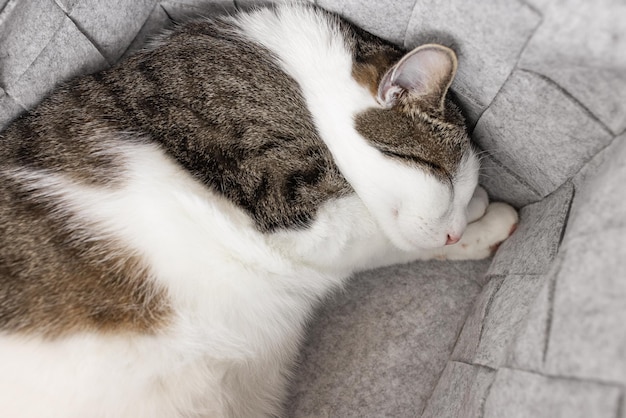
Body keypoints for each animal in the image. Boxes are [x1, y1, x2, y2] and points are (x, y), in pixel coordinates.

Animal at [0, 4, 516, 418]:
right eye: (443, 177)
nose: (454, 231)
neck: (295, 76)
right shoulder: (287, 201)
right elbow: (380, 236)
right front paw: (482, 217)